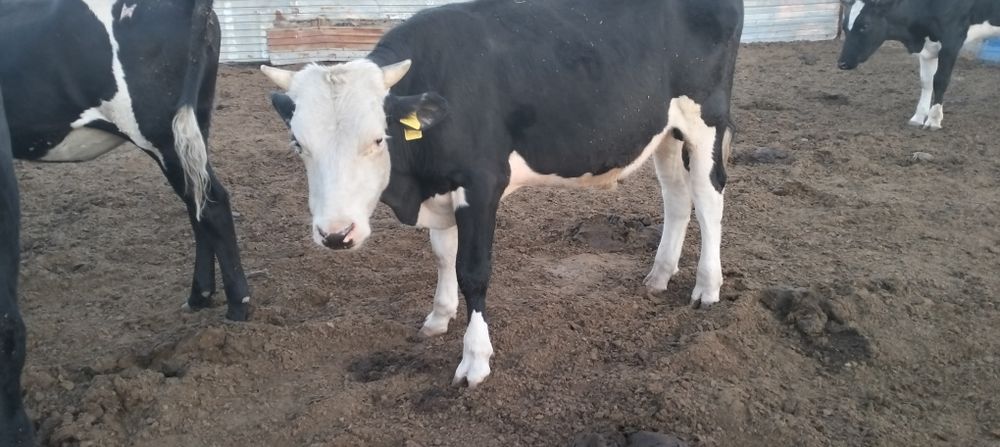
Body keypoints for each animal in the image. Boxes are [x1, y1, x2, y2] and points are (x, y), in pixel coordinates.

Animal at [0, 0, 253, 321]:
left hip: (161, 133)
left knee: (213, 205)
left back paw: (237, 306)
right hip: (193, 124)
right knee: (197, 203)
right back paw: (200, 296)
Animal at [261, 0, 743, 388]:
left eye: (378, 139)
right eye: (298, 144)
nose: (335, 234)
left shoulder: (481, 183)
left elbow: (473, 270)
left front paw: (474, 360)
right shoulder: (443, 189)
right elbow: (442, 255)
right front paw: (439, 316)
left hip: (706, 119)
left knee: (709, 199)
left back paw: (707, 286)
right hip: (665, 131)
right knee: (677, 198)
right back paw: (659, 275)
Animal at [838, 0, 1000, 129]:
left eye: (865, 26)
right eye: (844, 27)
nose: (842, 63)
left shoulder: (952, 41)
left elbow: (940, 80)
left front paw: (934, 119)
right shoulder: (928, 48)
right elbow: (927, 81)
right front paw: (918, 117)